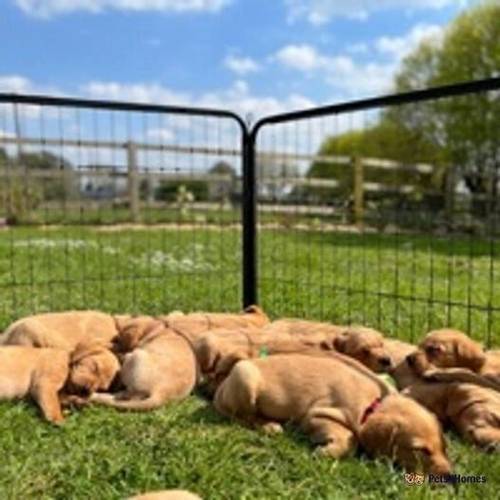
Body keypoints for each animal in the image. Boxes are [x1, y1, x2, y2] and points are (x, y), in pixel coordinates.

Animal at [213, 354, 452, 474]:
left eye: (443, 446)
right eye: (420, 450)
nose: (450, 477)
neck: (375, 402)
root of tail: (220, 389)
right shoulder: (316, 414)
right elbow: (350, 438)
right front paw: (326, 451)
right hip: (245, 378)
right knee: (240, 416)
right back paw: (268, 425)